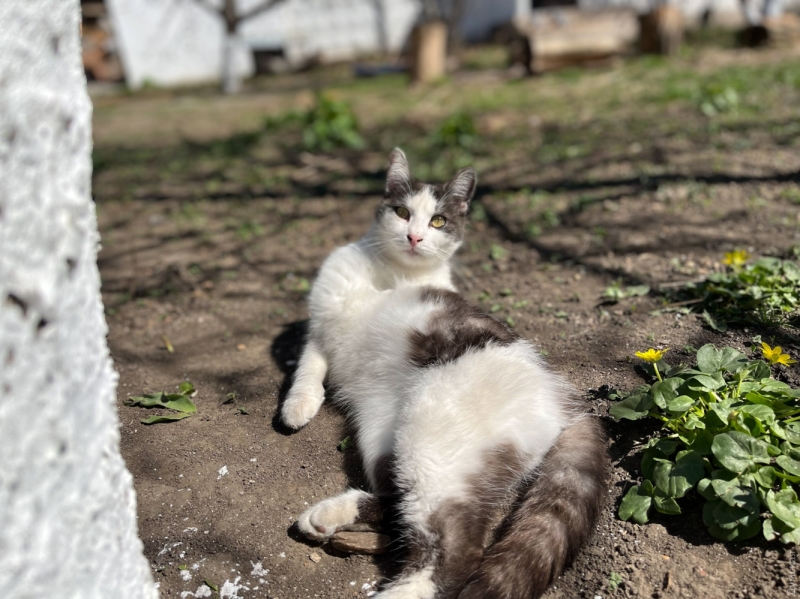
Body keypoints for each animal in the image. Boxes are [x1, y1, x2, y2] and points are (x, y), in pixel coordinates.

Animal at [280, 149, 608, 599]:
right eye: (402, 213)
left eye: (438, 221)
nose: (414, 237)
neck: (392, 277)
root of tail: (566, 400)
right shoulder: (320, 330)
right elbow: (307, 367)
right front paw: (298, 407)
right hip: (381, 437)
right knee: (397, 504)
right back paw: (328, 516)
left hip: (432, 442)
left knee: (452, 546)